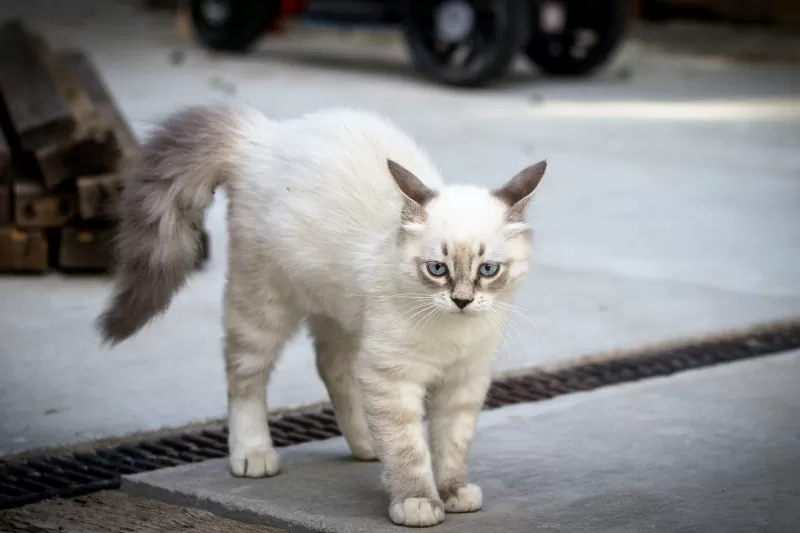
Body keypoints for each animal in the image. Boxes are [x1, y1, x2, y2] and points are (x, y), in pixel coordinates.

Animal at [97, 105, 548, 528]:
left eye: (488, 270)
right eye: (437, 269)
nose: (462, 301)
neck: (451, 333)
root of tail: (263, 133)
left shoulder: (463, 381)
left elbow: (451, 445)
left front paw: (452, 493)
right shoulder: (392, 378)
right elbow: (408, 448)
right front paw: (418, 502)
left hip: (342, 313)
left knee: (332, 368)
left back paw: (367, 445)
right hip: (263, 307)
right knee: (245, 378)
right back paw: (254, 454)